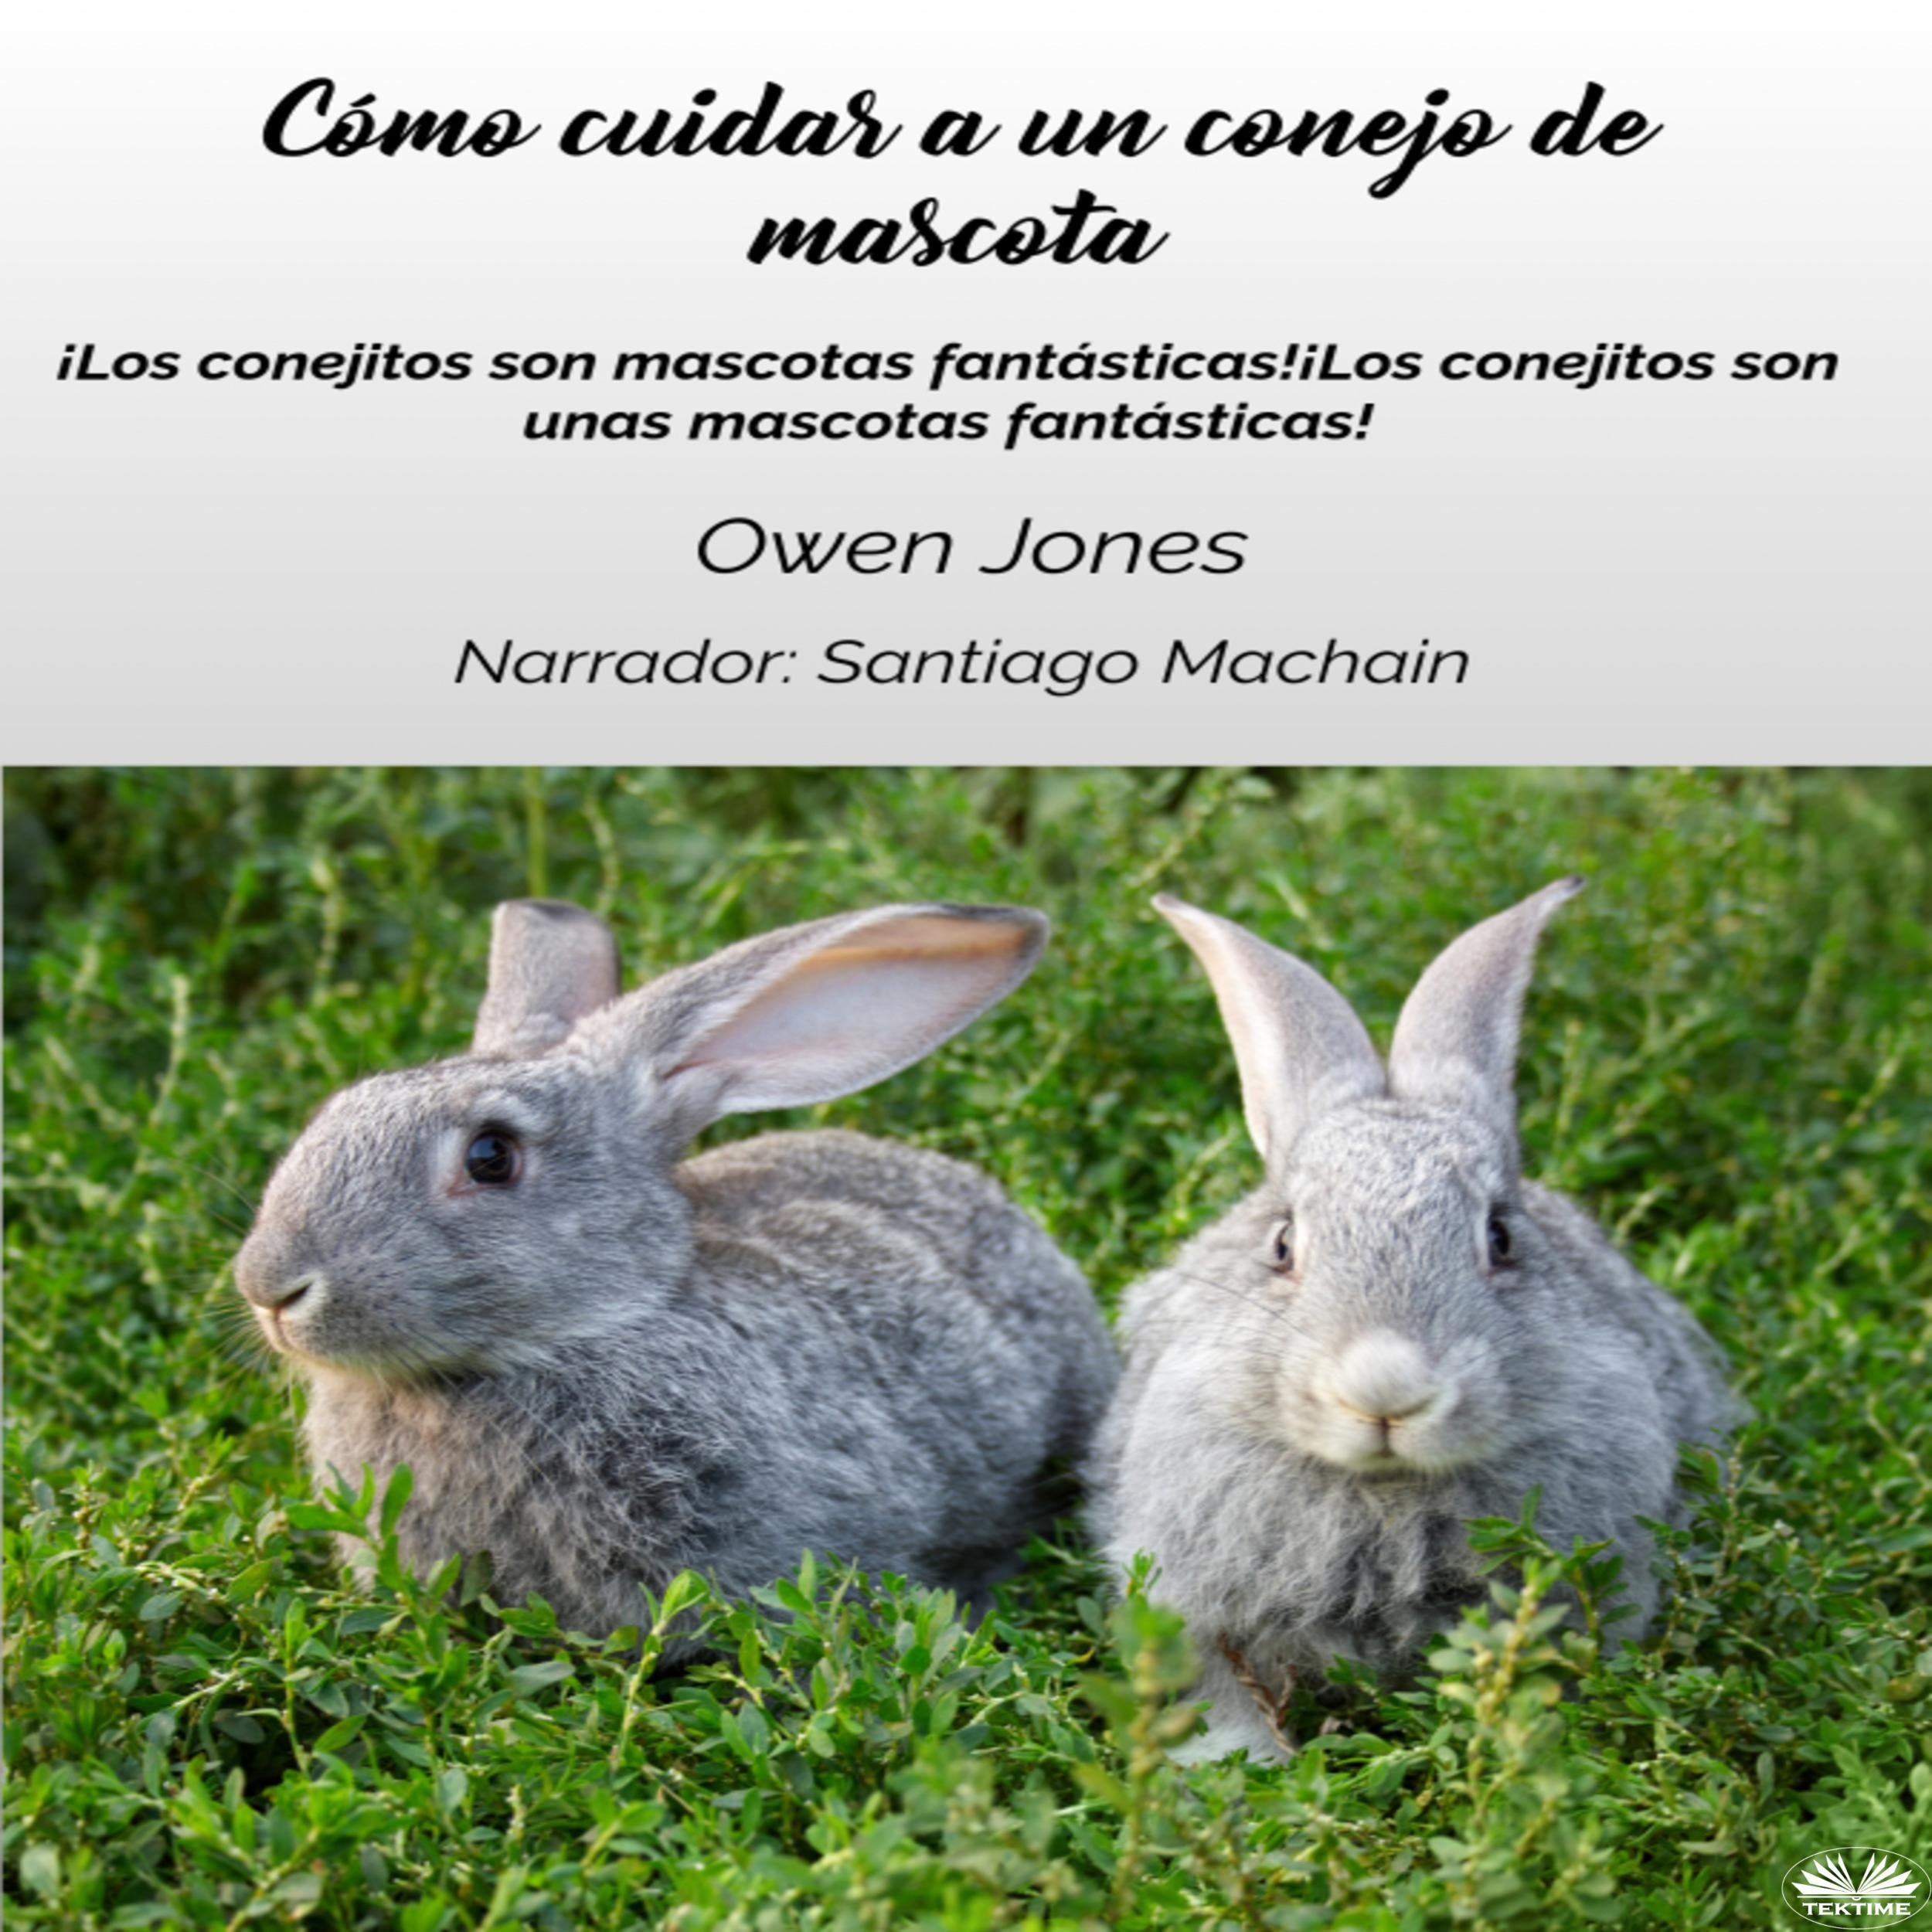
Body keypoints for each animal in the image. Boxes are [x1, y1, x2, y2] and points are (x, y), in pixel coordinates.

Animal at [1086, 878, 1732, 1762]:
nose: (1386, 1388)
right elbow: (1216, 1697)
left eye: (1500, 1237)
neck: (1385, 1495)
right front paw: (1231, 1767)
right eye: (1283, 1244)